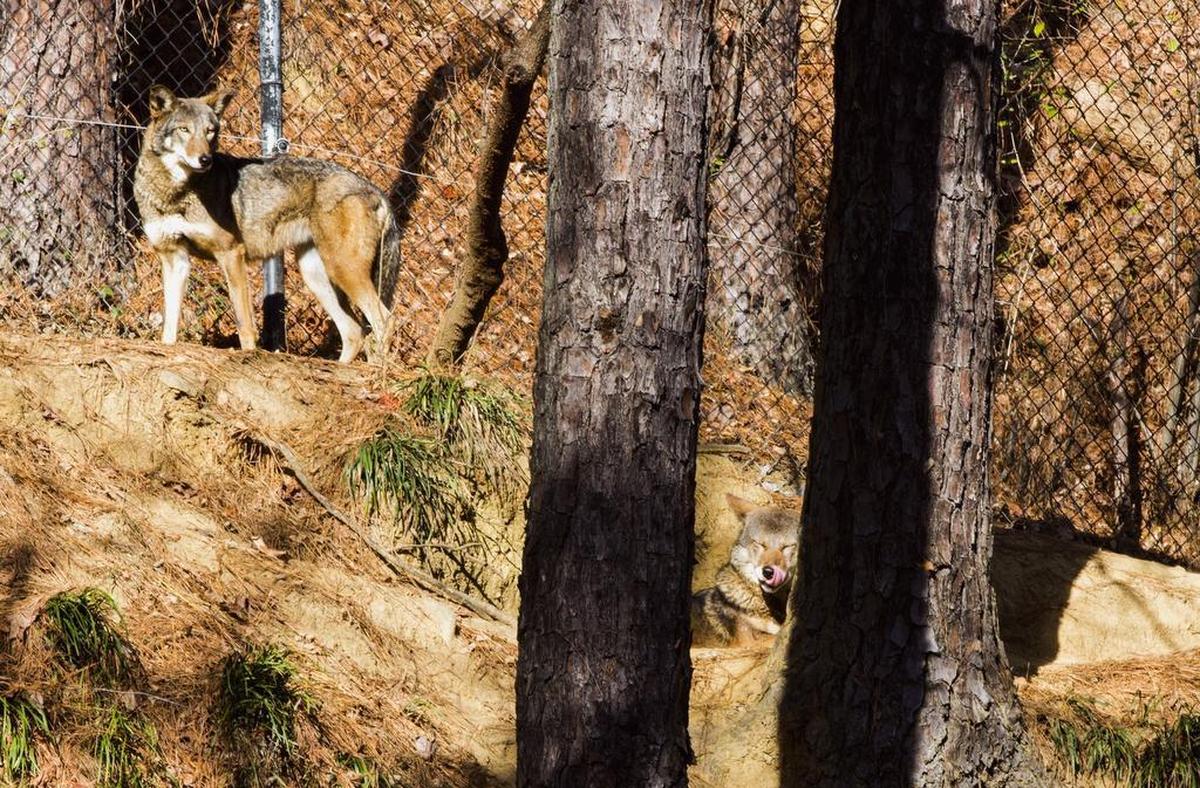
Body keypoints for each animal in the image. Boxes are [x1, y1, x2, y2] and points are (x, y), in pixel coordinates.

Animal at [133, 85, 401, 362]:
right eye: (184, 129)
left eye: (210, 131)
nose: (205, 159)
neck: (176, 194)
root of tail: (375, 190)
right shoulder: (174, 258)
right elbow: (169, 328)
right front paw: (165, 353)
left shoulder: (231, 254)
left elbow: (245, 325)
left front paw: (248, 357)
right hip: (316, 275)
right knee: (354, 332)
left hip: (342, 269)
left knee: (384, 321)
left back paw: (376, 370)